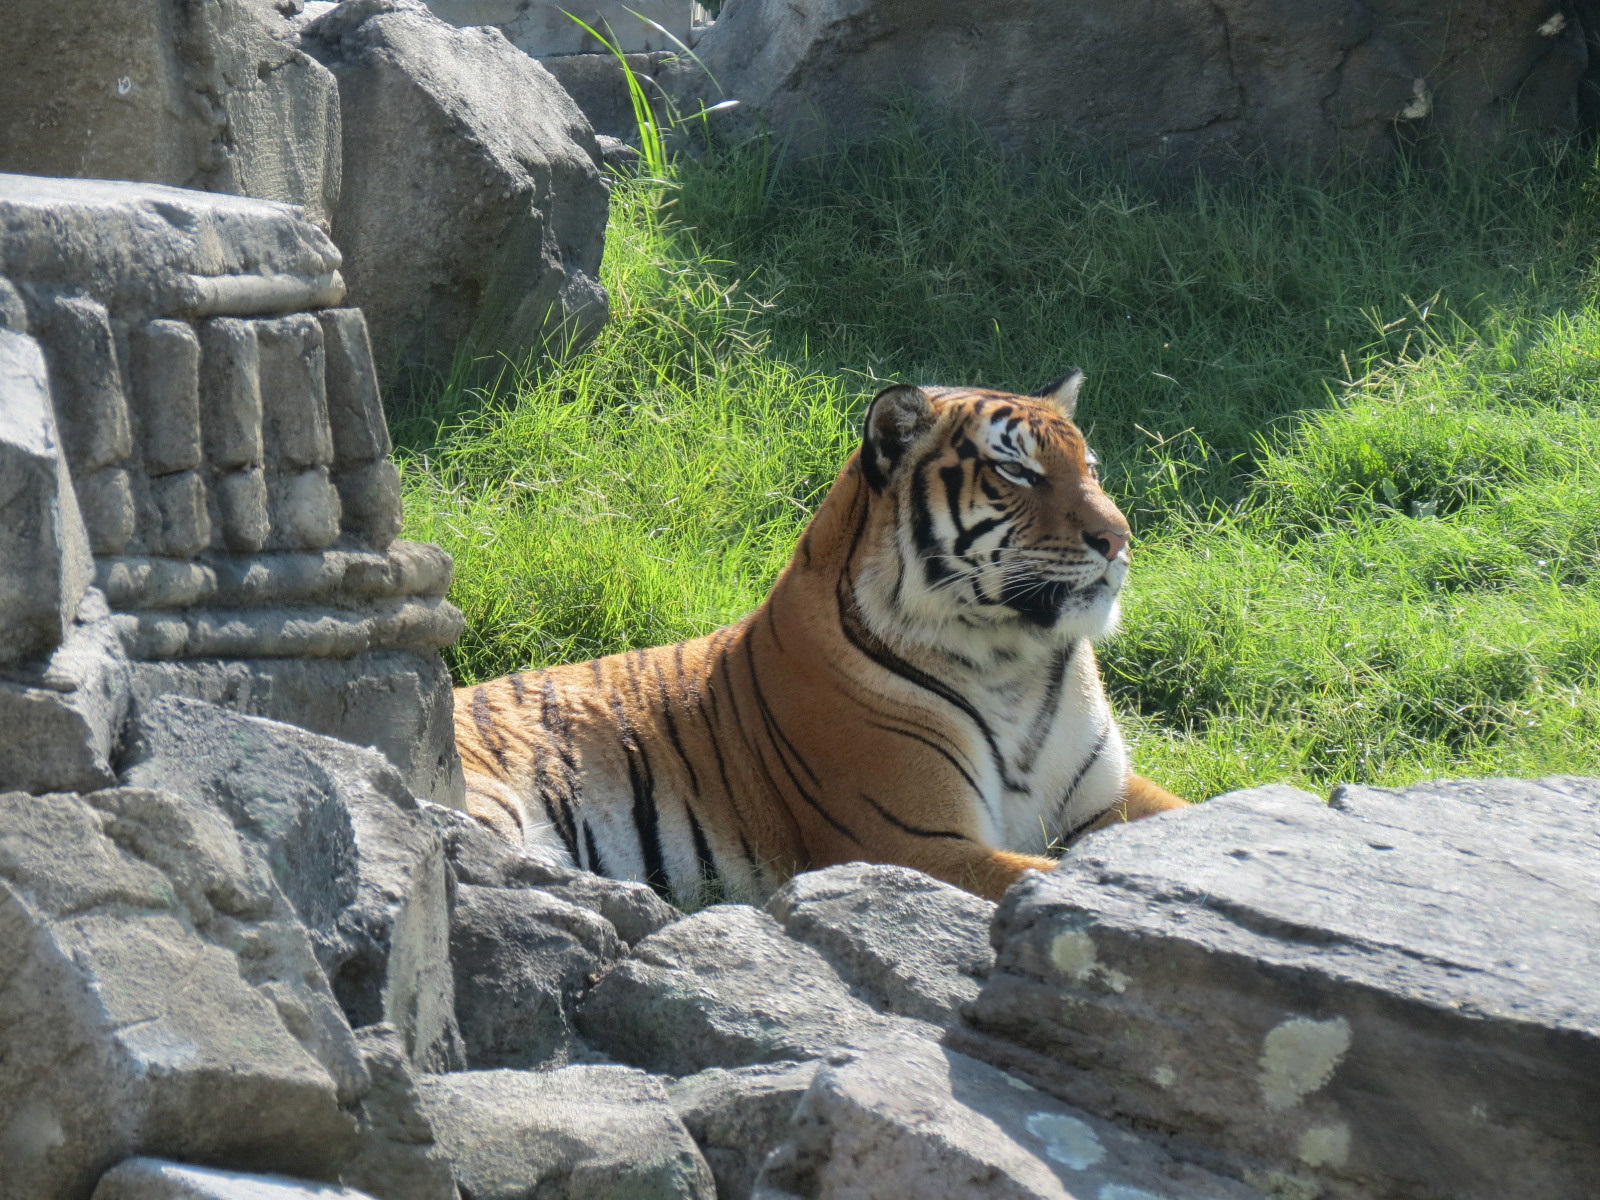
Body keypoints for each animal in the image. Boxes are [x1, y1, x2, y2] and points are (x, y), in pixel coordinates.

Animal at [455, 372, 1188, 904]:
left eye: (1090, 467)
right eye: (1017, 472)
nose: (1119, 537)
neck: (1012, 663)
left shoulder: (1107, 797)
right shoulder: (911, 842)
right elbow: (1047, 878)